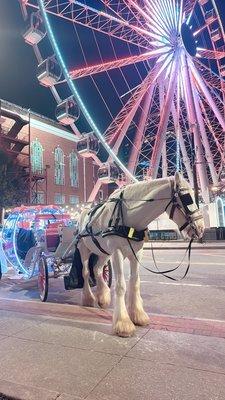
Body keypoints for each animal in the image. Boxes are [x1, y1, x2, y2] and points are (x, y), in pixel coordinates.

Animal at [76, 173, 205, 338]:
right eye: (187, 197)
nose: (200, 228)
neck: (128, 215)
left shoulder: (136, 252)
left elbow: (135, 282)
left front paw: (137, 314)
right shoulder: (117, 251)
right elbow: (121, 285)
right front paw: (123, 323)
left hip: (104, 252)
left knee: (97, 269)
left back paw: (102, 297)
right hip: (84, 249)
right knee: (86, 272)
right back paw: (88, 298)